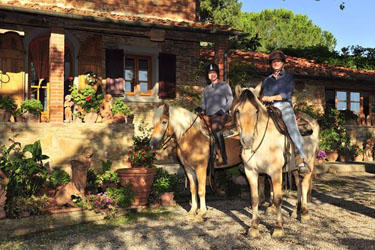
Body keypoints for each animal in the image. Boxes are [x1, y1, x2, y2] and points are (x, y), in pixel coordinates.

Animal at [232, 85, 320, 238]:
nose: (247, 140)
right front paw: (253, 228)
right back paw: (295, 211)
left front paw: (278, 228)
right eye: (237, 111)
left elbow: (278, 199)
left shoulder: (276, 172)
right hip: (294, 168)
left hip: (308, 163)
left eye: (256, 111)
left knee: (304, 185)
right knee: (298, 184)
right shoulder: (251, 172)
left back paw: (304, 213)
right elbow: (254, 198)